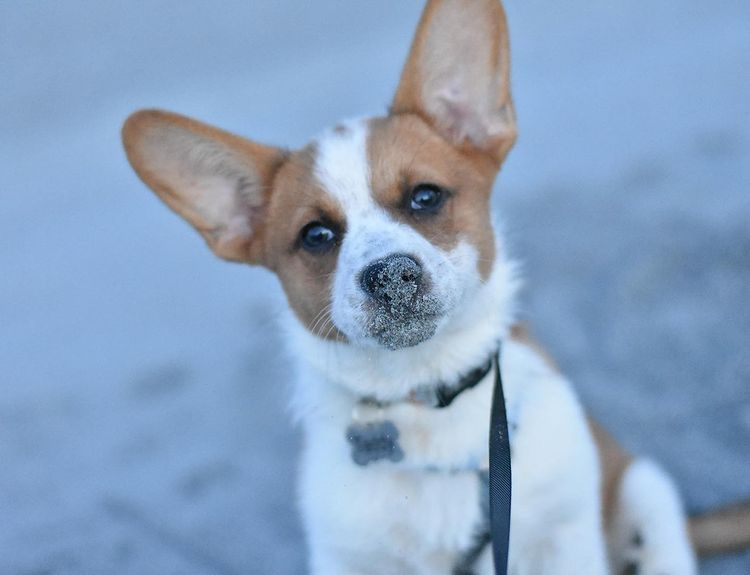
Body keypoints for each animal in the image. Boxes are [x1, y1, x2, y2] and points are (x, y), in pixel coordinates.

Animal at [120, 0, 748, 572]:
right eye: (316, 235)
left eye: (425, 196)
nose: (390, 277)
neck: (429, 403)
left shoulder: (561, 536)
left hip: (645, 488)